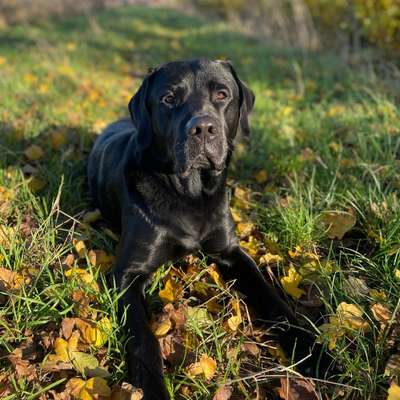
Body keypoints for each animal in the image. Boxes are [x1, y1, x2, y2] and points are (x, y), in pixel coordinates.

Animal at [88, 57, 328, 398]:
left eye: (222, 94)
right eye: (169, 99)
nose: (202, 128)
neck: (190, 194)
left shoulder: (231, 251)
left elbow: (273, 300)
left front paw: (313, 350)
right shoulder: (126, 273)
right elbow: (143, 338)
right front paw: (153, 387)